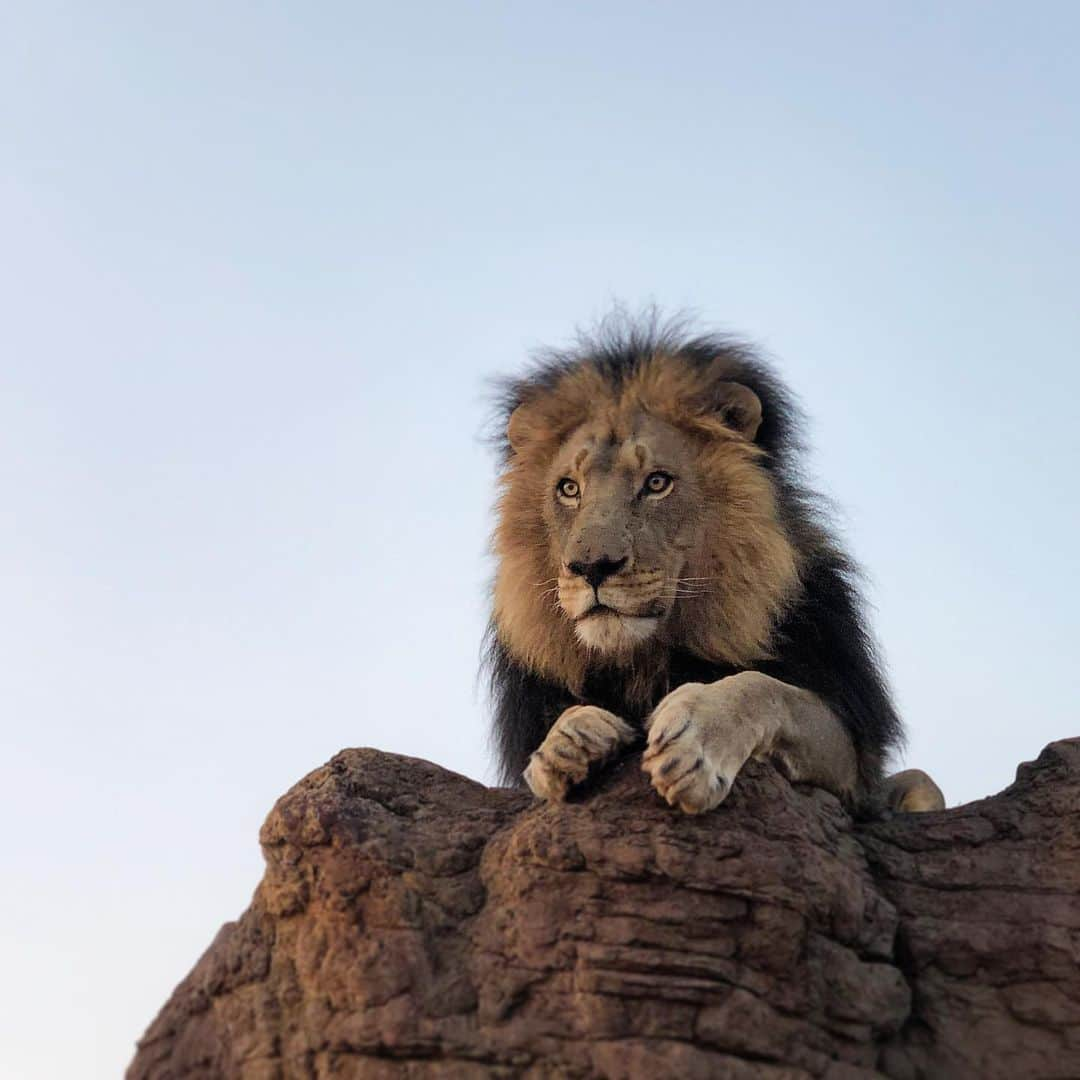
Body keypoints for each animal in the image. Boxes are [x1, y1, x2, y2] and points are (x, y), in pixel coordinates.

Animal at [486, 315, 941, 812]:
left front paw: (695, 740)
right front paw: (565, 742)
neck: (647, 659)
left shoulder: (853, 754)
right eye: (569, 489)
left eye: (657, 483)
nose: (591, 568)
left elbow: (763, 688)